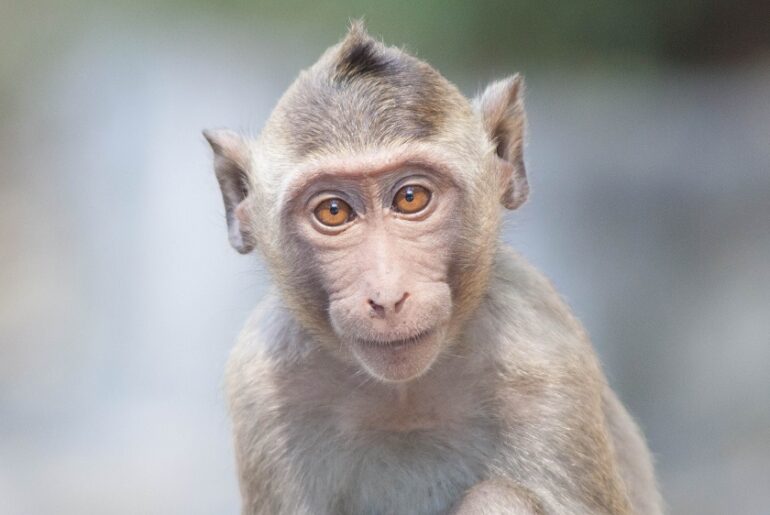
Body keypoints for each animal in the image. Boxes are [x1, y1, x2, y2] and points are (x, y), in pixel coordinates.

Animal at [204, 21, 663, 515]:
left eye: (411, 198)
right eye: (333, 211)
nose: (387, 297)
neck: (404, 394)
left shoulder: (544, 359)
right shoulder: (262, 388)